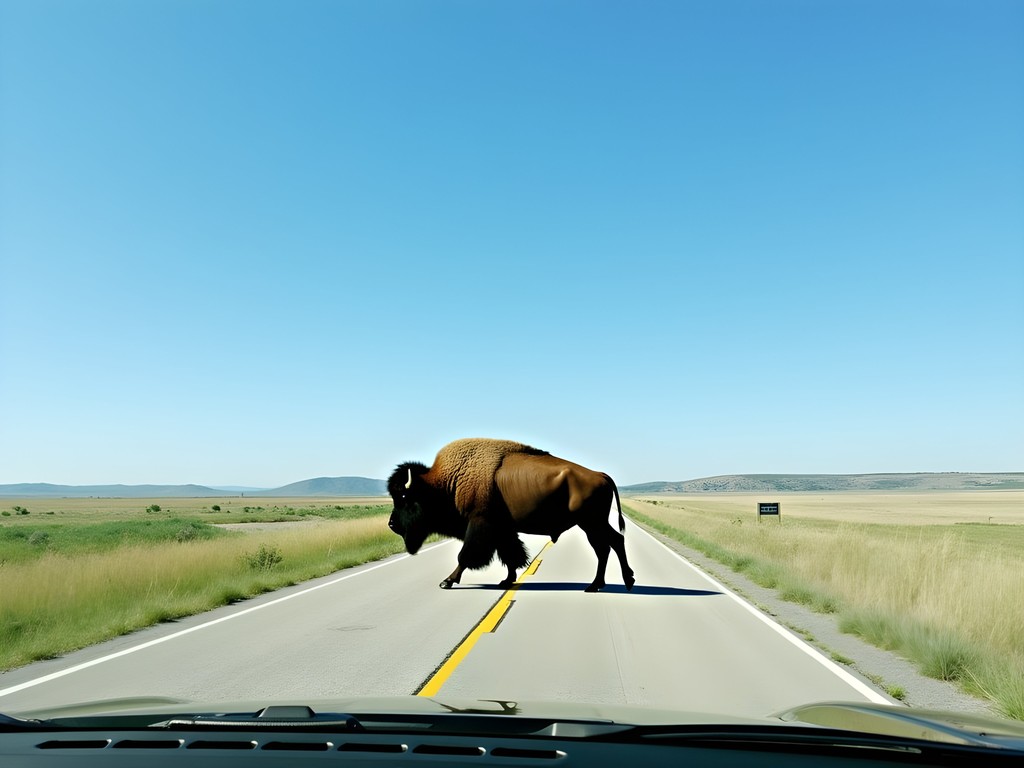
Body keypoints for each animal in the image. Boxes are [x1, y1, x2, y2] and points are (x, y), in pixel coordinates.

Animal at [387, 438, 635, 592]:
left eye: (404, 497)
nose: (391, 524)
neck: (447, 482)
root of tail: (601, 475)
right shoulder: (502, 530)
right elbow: (511, 555)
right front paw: (506, 581)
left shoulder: (480, 524)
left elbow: (465, 555)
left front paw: (447, 581)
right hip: (592, 525)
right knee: (606, 547)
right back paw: (596, 585)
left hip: (591, 523)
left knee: (613, 543)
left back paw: (624, 582)